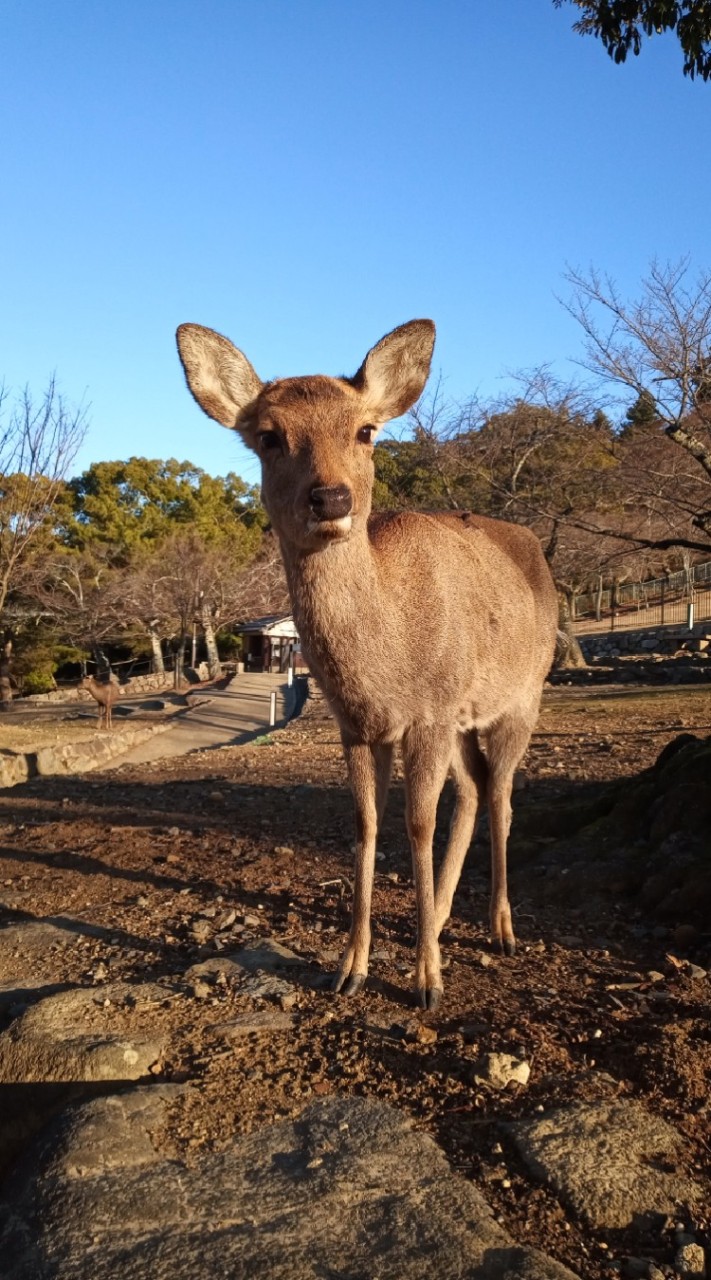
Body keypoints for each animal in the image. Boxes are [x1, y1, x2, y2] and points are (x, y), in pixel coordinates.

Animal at [175, 320, 558, 1008]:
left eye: (366, 431)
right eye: (268, 436)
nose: (331, 497)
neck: (385, 667)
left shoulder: (429, 714)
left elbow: (417, 824)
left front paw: (427, 981)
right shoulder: (358, 724)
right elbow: (366, 824)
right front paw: (350, 968)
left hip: (524, 695)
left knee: (503, 794)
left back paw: (501, 928)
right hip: (464, 718)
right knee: (475, 787)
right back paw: (442, 918)